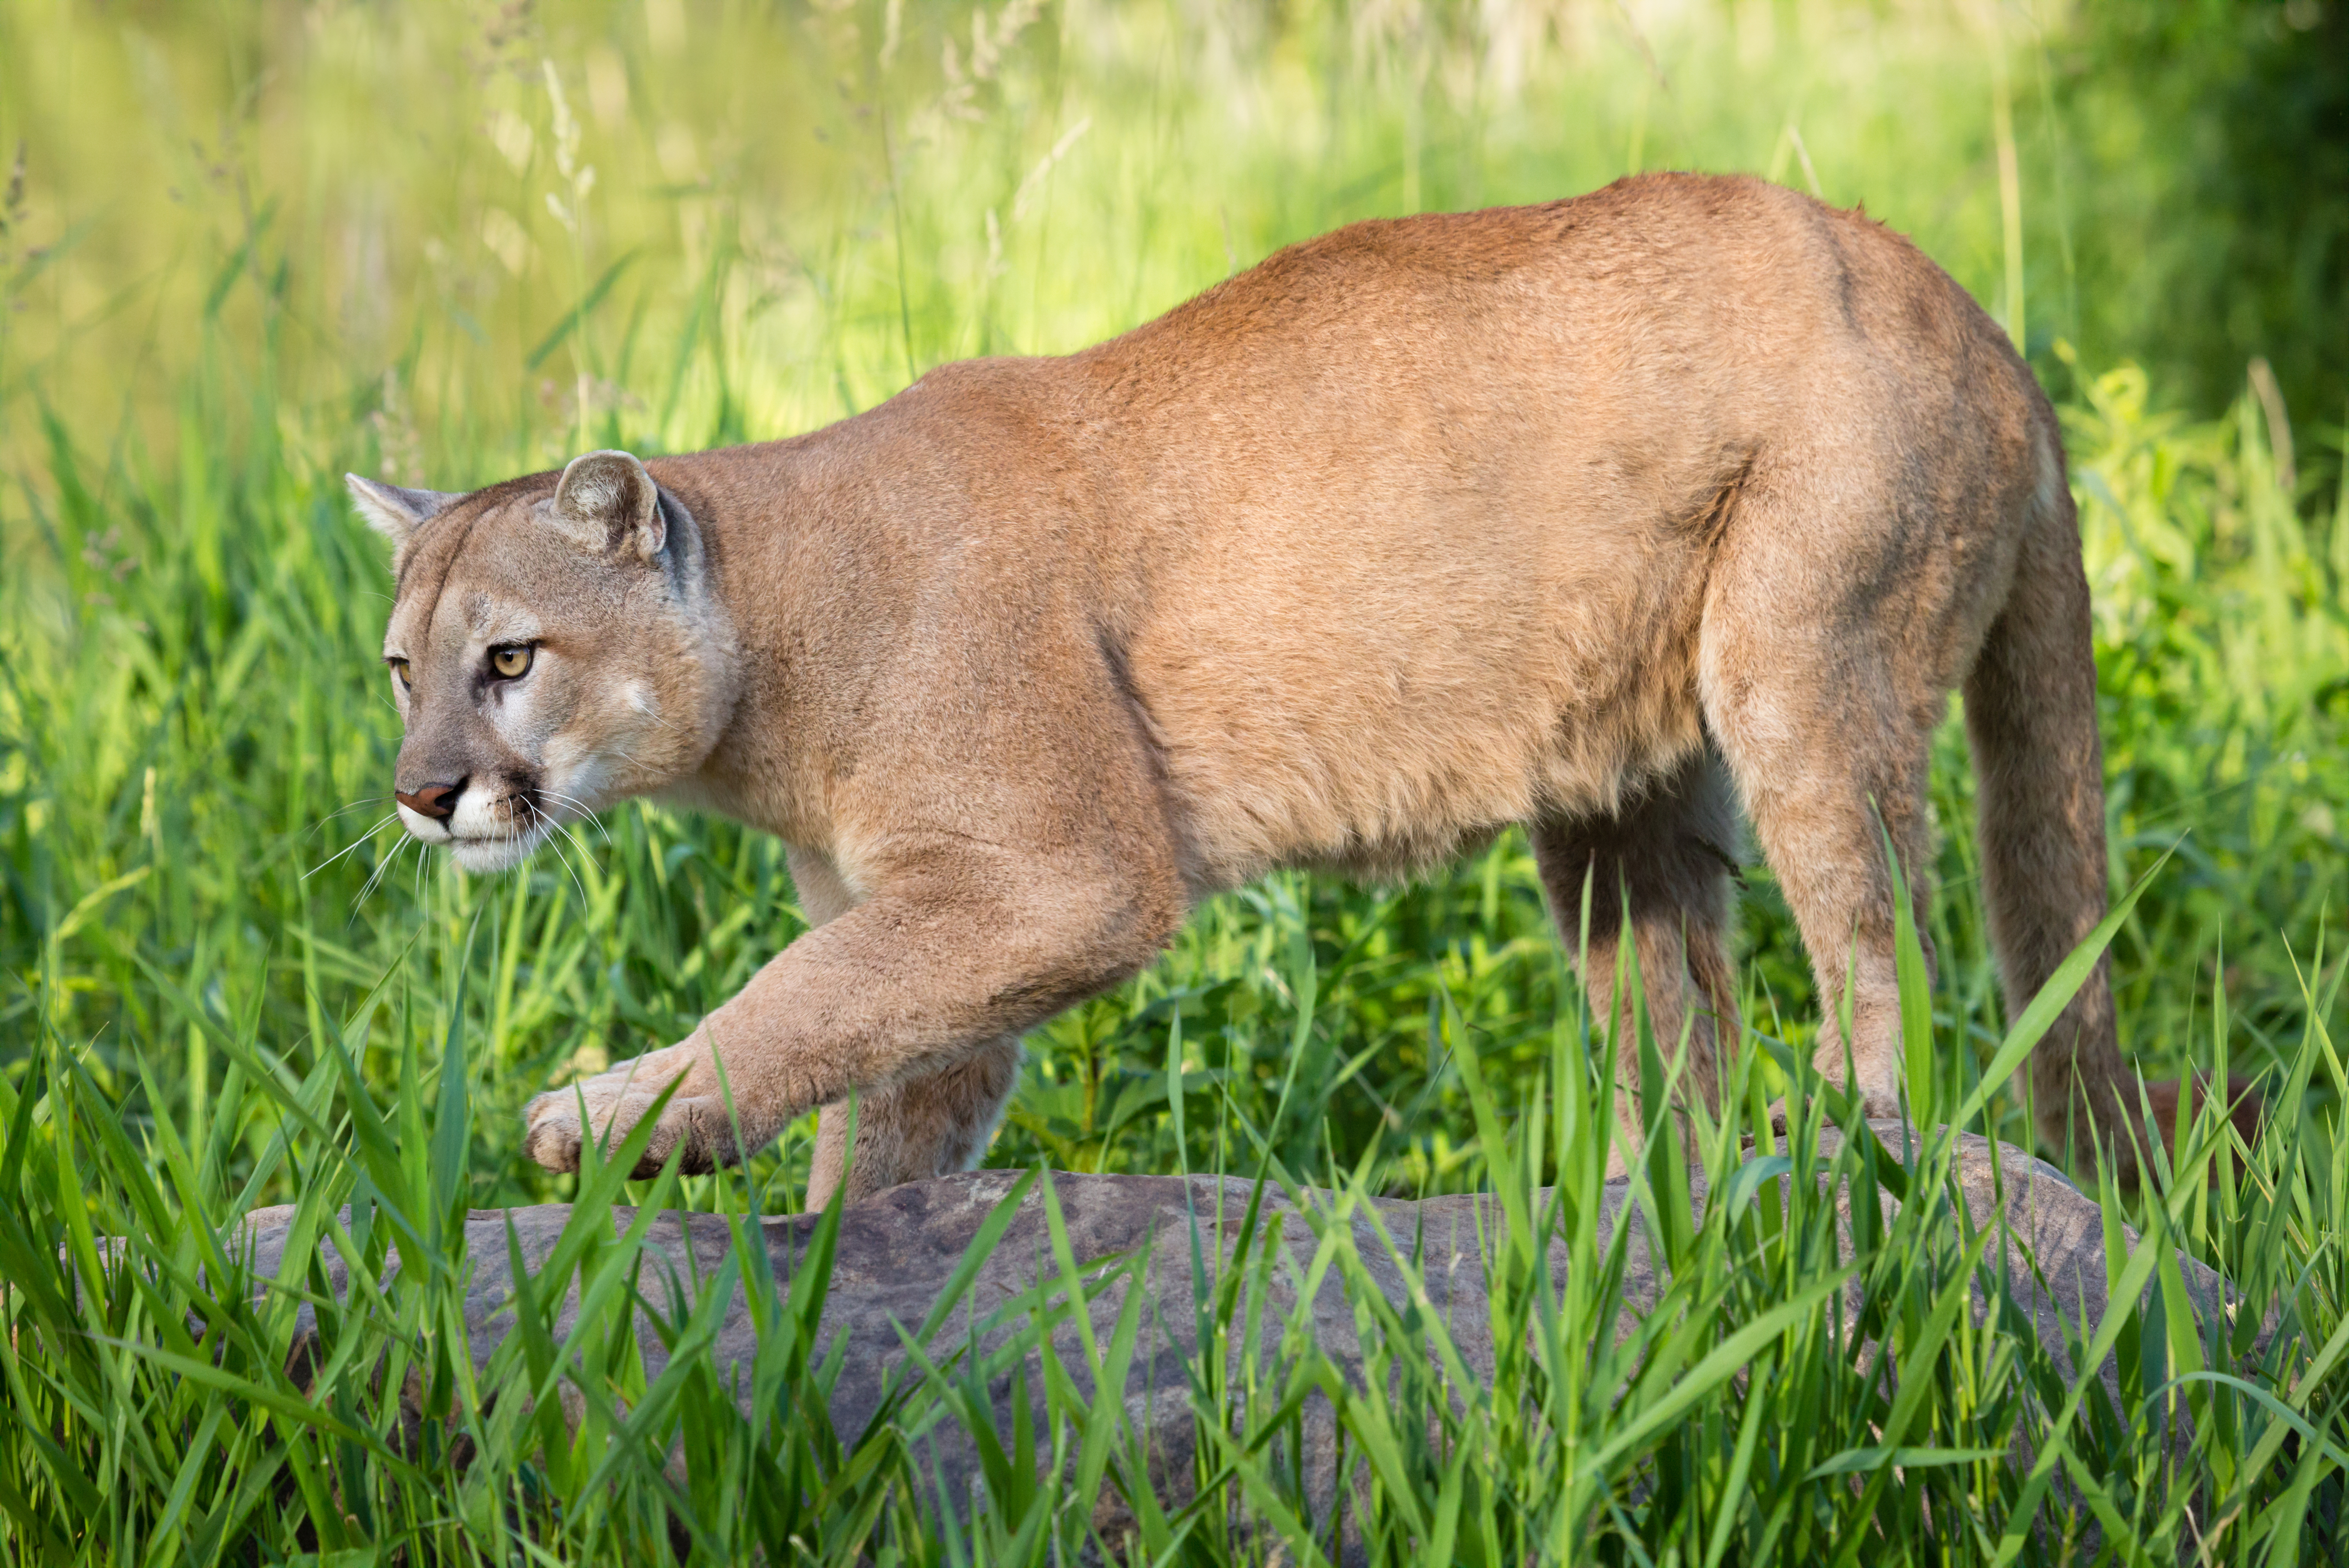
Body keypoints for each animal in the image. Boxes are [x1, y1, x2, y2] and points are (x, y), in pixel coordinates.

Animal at [347, 175, 2236, 1202]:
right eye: (401, 669)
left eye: (510, 657)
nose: (424, 790)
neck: (776, 638)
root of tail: (1969, 306)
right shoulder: (946, 916)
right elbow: (879, 1072)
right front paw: (810, 1250)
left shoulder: (1058, 872)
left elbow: (794, 1003)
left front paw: (604, 1120)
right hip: (1615, 795)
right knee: (1673, 1014)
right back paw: (1647, 1219)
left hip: (1802, 663)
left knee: (1879, 943)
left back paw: (1846, 1144)